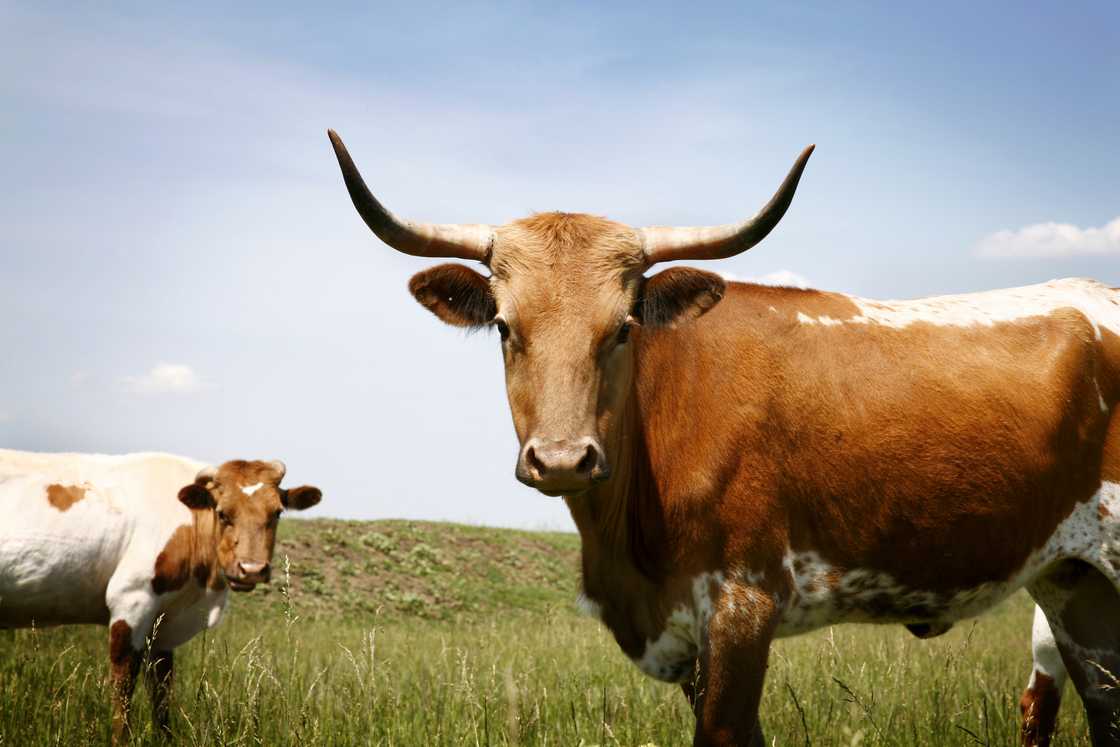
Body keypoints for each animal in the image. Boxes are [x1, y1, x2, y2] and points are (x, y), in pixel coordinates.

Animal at [0, 450, 322, 742]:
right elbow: (124, 687)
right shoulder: (131, 600)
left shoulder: (164, 625)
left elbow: (162, 692)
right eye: (222, 513)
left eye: (277, 512)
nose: (252, 569)